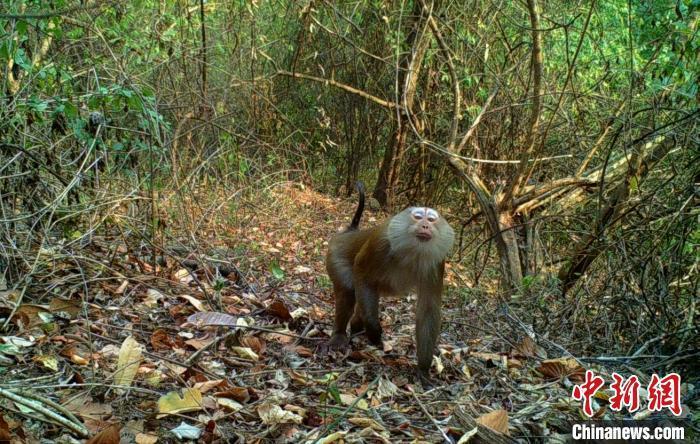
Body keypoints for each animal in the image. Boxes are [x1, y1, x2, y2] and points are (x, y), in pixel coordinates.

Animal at [326, 182, 456, 384]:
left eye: (432, 219)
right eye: (417, 216)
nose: (425, 225)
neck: (412, 250)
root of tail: (349, 232)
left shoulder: (437, 262)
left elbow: (428, 309)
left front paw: (423, 369)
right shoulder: (381, 241)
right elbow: (361, 270)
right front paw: (374, 332)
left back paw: (356, 325)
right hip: (334, 255)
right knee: (348, 289)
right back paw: (340, 334)